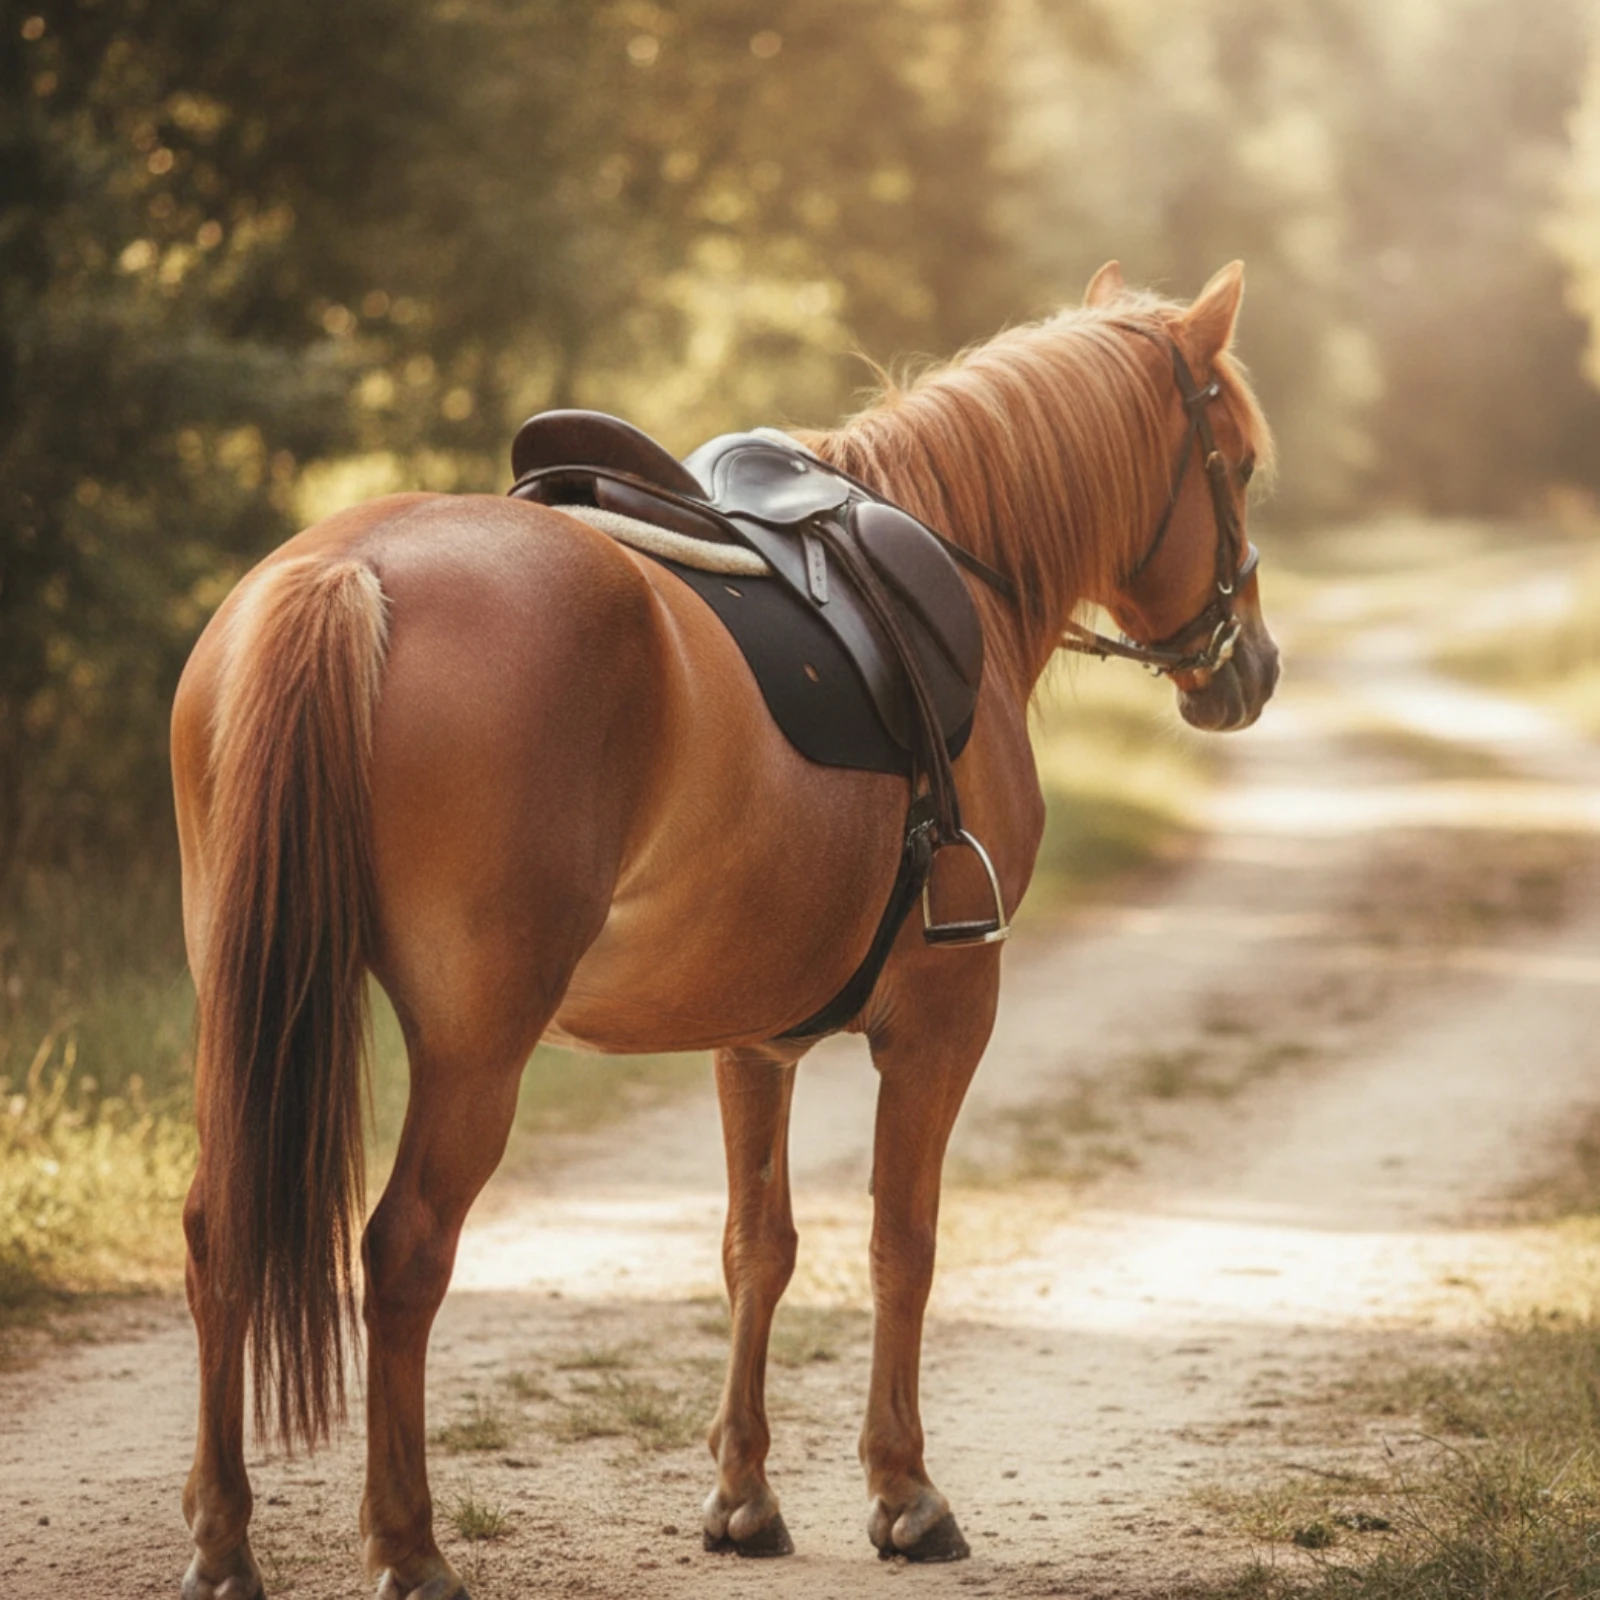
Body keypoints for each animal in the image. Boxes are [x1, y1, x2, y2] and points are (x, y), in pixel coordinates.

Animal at [170, 259, 1277, 1600]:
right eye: (1238, 464)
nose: (1252, 666)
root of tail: (353, 570)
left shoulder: (753, 1037)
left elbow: (759, 1245)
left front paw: (744, 1494)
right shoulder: (943, 1020)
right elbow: (901, 1241)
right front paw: (904, 1493)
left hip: (244, 1007)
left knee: (219, 1230)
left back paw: (224, 1538)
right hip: (475, 1047)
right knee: (404, 1253)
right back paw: (410, 1545)